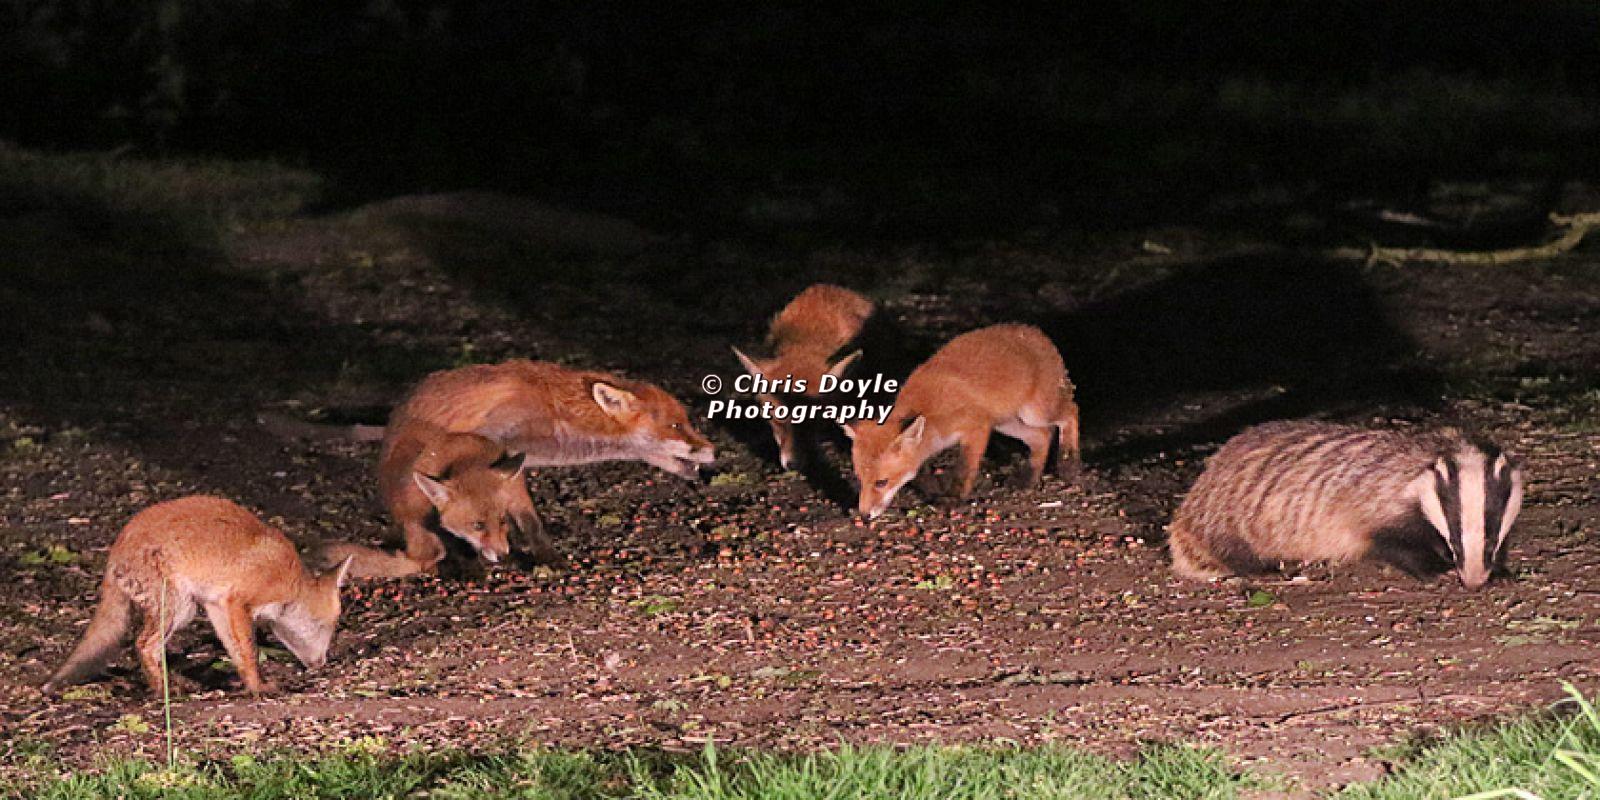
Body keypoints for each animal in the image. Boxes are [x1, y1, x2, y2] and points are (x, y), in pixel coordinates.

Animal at [42, 496, 352, 697]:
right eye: (328, 626)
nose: (322, 664)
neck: (291, 581)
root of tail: (116, 548)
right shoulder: (239, 602)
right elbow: (250, 652)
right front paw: (259, 687)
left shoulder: (218, 606)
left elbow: (236, 653)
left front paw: (249, 686)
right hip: (177, 607)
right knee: (142, 645)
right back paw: (165, 691)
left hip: (184, 610)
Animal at [843, 324, 1080, 518]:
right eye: (859, 479)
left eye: (881, 482)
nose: (863, 515)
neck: (931, 414)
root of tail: (1035, 332)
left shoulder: (977, 427)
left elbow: (965, 469)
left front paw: (954, 498)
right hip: (1008, 424)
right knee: (1043, 436)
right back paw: (1029, 480)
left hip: (1036, 412)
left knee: (1071, 412)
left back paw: (1069, 463)